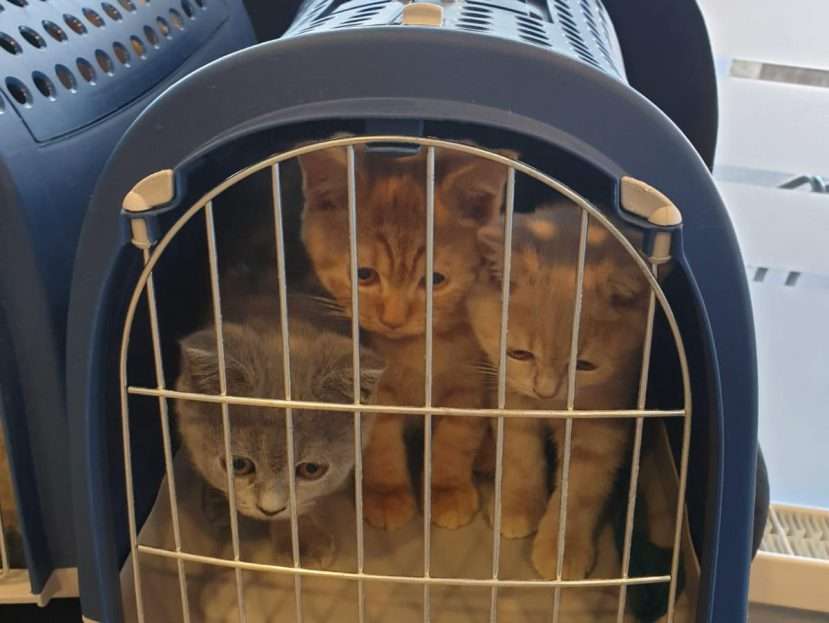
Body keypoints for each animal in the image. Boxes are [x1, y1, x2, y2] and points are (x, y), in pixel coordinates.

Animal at [299, 139, 514, 530]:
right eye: (364, 274)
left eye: (435, 280)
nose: (393, 319)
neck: (415, 350)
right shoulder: (370, 390)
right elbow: (379, 440)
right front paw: (387, 494)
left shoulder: (468, 383)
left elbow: (457, 437)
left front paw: (447, 489)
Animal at [467, 204, 650, 579]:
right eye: (519, 354)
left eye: (584, 365)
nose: (546, 392)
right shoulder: (511, 396)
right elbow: (520, 453)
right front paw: (517, 504)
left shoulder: (603, 420)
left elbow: (580, 488)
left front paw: (563, 548)